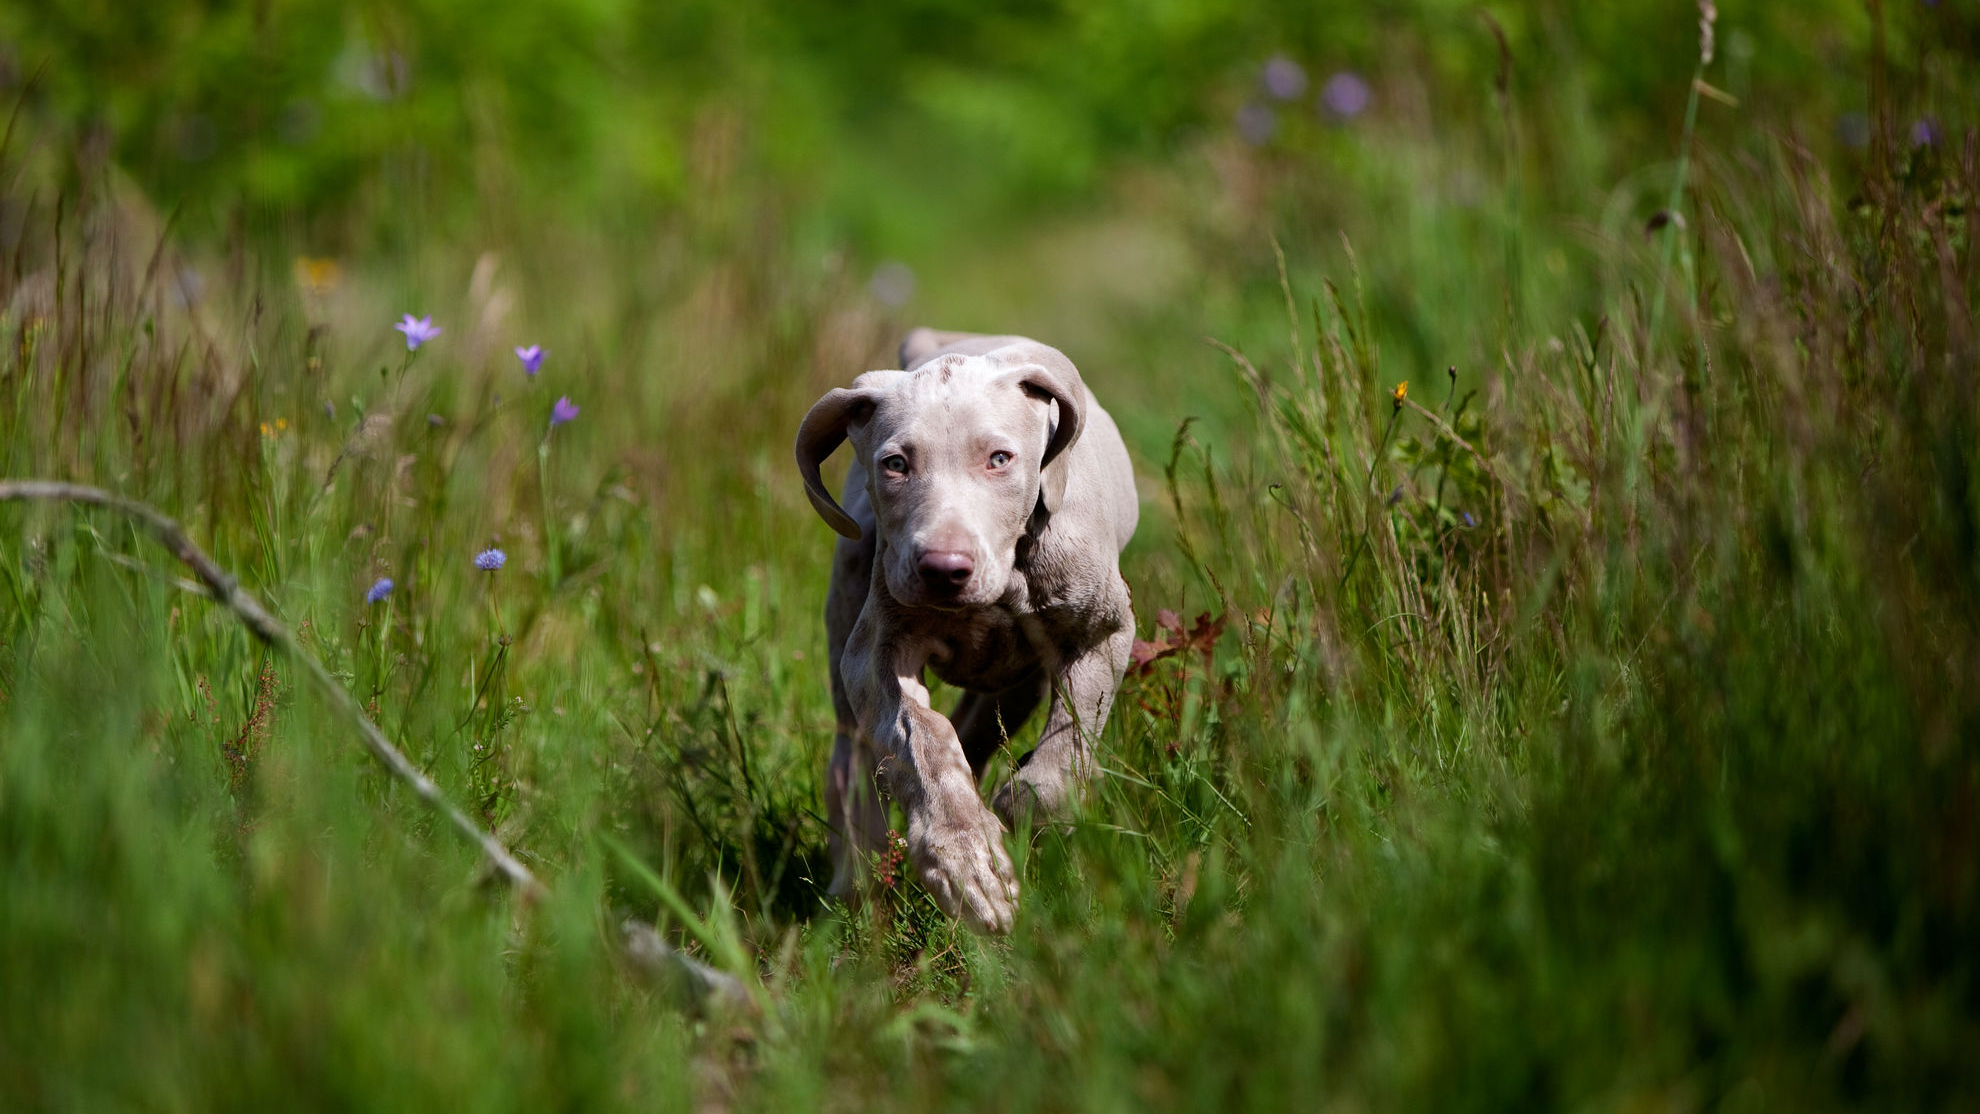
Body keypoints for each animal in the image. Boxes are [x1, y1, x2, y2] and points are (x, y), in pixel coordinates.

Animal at [784, 328, 1132, 933]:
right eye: (895, 464)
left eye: (1000, 459)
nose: (943, 570)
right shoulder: (875, 651)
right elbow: (920, 736)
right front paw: (967, 860)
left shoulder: (1103, 634)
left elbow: (1063, 759)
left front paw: (1013, 822)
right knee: (852, 766)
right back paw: (858, 883)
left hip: (1022, 678)